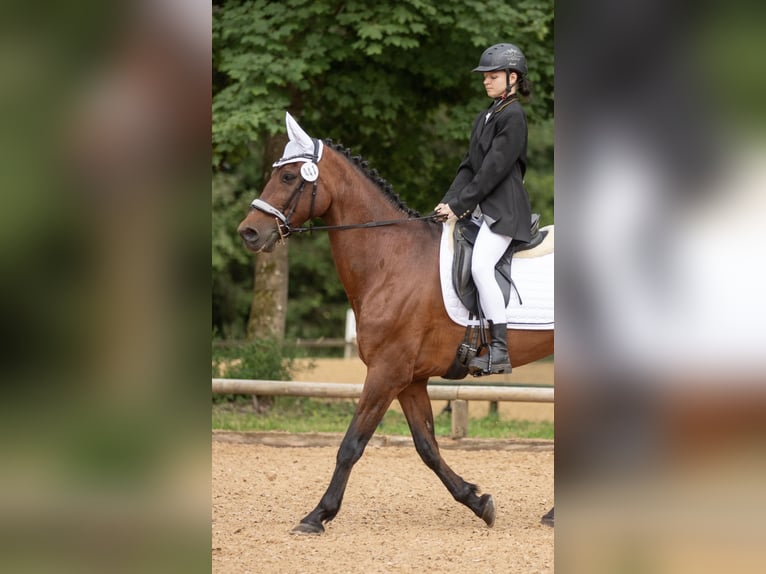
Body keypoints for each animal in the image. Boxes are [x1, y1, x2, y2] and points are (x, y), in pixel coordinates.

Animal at [238, 113, 554, 534]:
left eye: (289, 177)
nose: (249, 232)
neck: (391, 258)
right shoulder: (409, 378)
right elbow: (427, 447)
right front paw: (477, 501)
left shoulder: (386, 371)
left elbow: (351, 445)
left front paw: (318, 515)